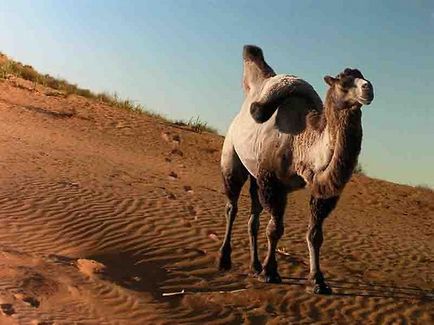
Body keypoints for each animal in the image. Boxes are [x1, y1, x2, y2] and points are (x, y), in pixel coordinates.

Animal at [219, 45, 374, 294]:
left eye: (364, 77)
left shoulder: (320, 189)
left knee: (253, 218)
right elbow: (275, 229)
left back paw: (254, 265)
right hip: (232, 157)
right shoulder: (272, 181)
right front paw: (270, 272)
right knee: (232, 207)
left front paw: (318, 280)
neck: (301, 142)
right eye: (343, 83)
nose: (368, 88)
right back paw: (224, 260)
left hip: (255, 175)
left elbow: (315, 234)